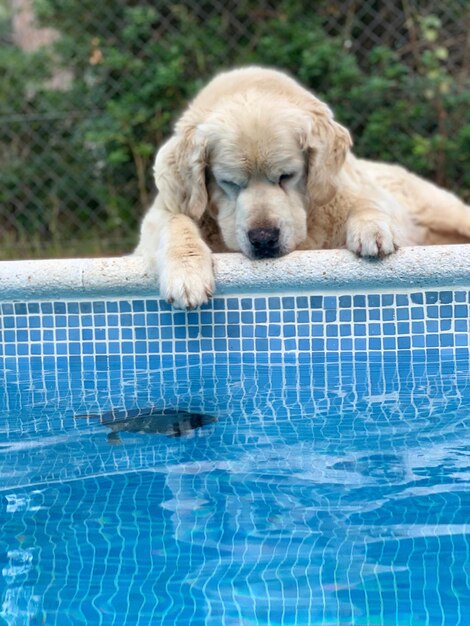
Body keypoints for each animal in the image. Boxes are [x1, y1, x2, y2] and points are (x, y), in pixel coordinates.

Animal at [135, 65, 470, 308]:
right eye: (228, 183)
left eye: (287, 176)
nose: (264, 239)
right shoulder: (167, 208)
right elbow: (174, 222)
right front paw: (186, 273)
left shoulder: (344, 192)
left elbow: (364, 202)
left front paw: (372, 228)